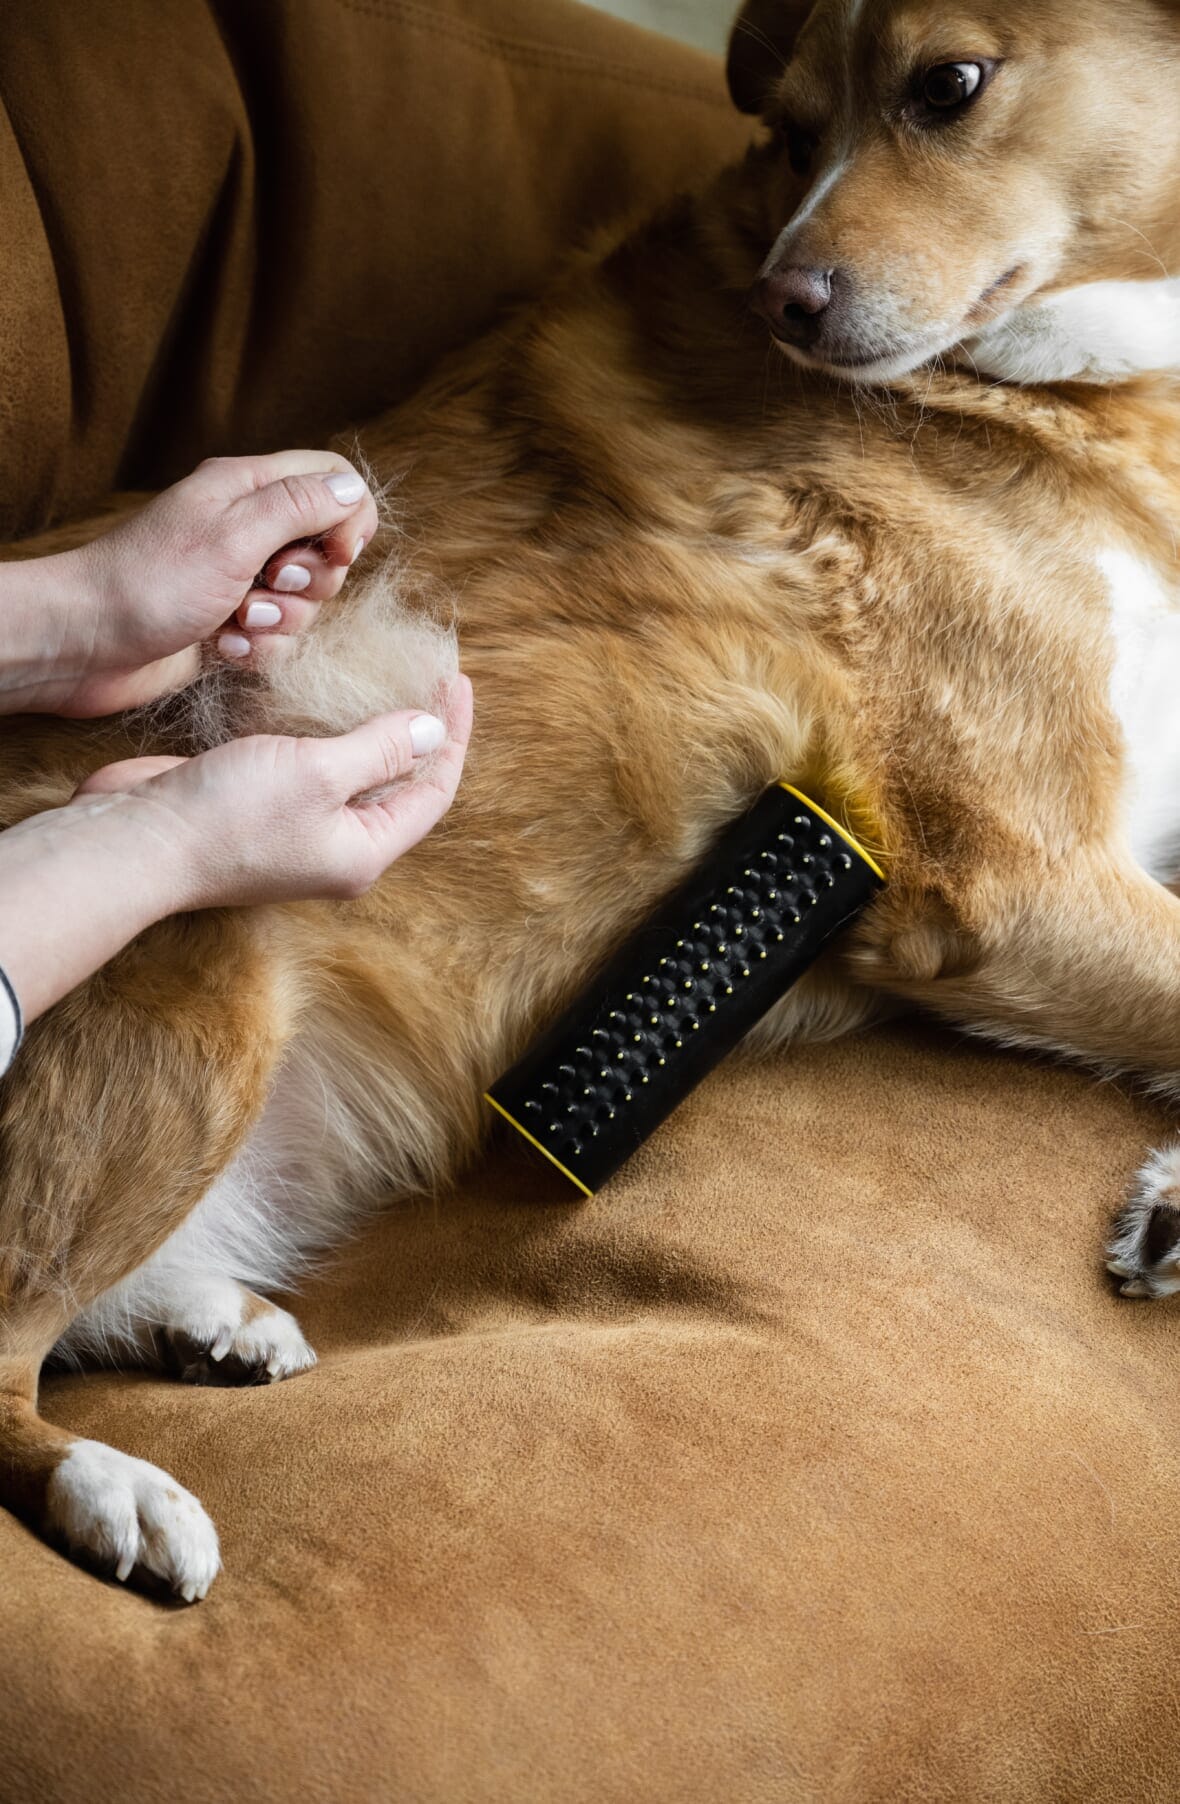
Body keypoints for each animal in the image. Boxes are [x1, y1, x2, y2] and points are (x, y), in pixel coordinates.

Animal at [2, 0, 1180, 1609]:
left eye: (948, 85)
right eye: (792, 130)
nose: (787, 306)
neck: (1057, 396)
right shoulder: (1012, 873)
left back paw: (209, 1325)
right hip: (197, 971)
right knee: (10, 1342)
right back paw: (113, 1486)